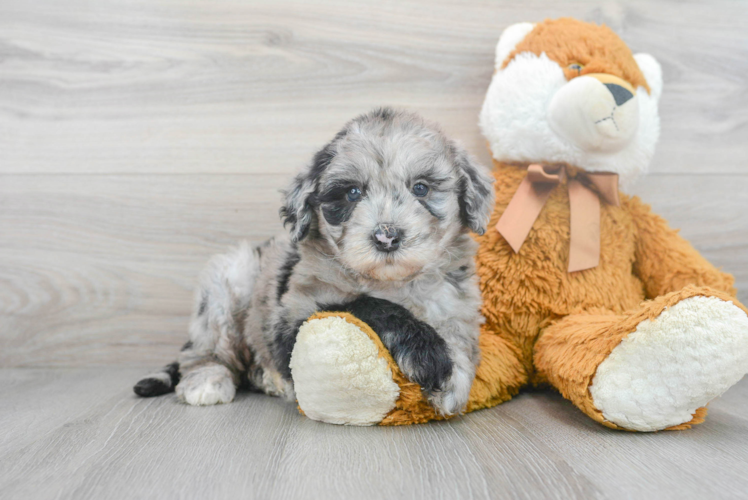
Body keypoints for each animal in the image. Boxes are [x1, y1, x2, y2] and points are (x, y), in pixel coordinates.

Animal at [134, 107, 496, 416]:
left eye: (421, 188)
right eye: (352, 193)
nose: (386, 236)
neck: (392, 283)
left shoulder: (456, 306)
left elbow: (461, 341)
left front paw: (454, 379)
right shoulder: (292, 321)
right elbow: (367, 305)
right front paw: (429, 355)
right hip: (227, 284)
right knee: (202, 350)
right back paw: (207, 380)